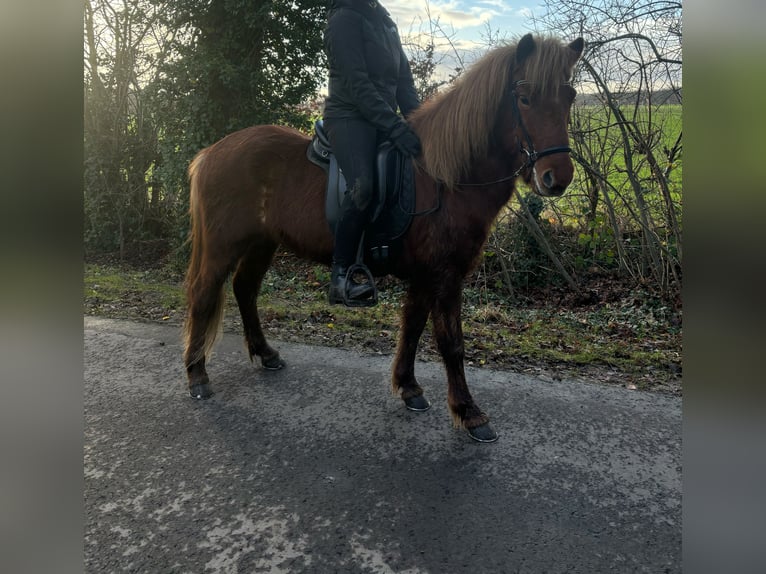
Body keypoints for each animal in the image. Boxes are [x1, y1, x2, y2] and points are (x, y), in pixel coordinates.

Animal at [183, 33, 584, 442]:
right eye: (525, 98)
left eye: (569, 96)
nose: (557, 177)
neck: (445, 178)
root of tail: (211, 152)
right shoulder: (445, 276)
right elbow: (451, 342)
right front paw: (469, 412)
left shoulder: (426, 275)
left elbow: (413, 327)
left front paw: (409, 388)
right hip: (222, 246)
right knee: (203, 294)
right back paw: (197, 375)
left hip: (261, 243)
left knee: (245, 289)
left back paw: (265, 354)